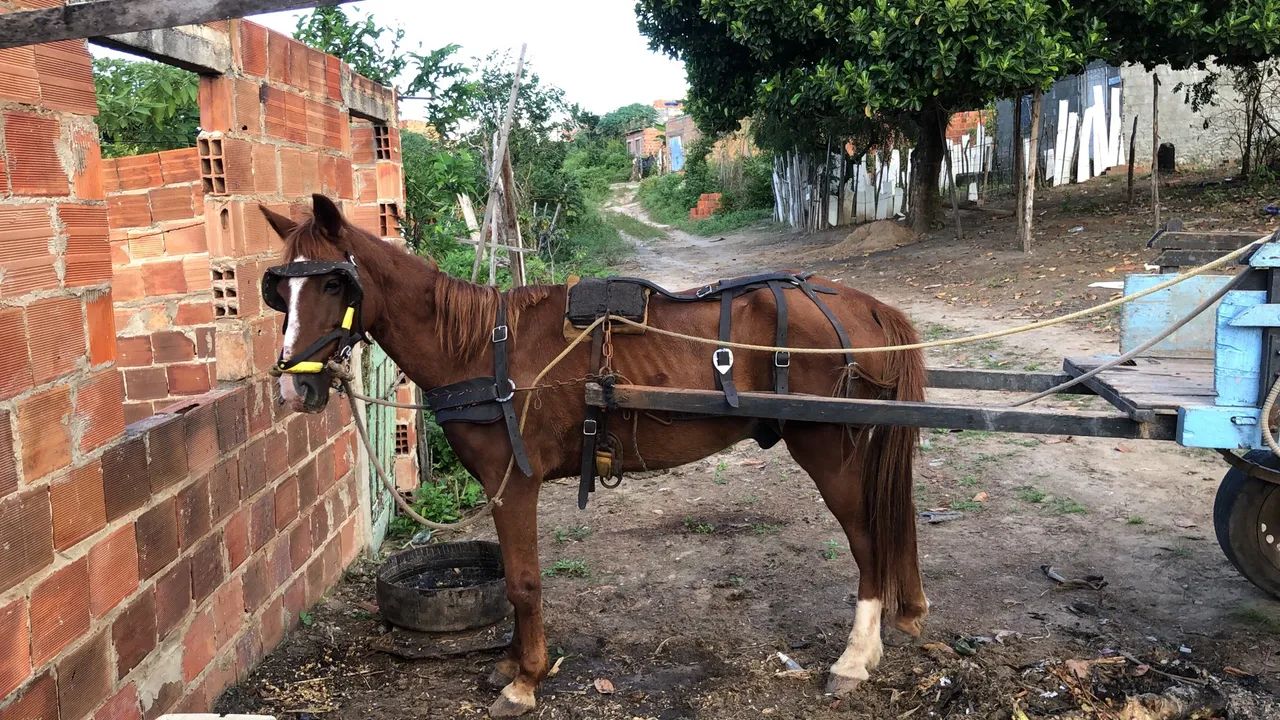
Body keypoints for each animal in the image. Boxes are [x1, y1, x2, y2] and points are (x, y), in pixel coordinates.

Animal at [261, 194, 929, 717]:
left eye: (333, 282)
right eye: (279, 292)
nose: (294, 389)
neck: (481, 351)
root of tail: (863, 306)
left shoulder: (514, 482)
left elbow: (524, 583)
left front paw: (526, 681)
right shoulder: (501, 488)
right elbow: (514, 579)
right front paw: (510, 663)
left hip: (830, 450)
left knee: (868, 541)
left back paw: (854, 659)